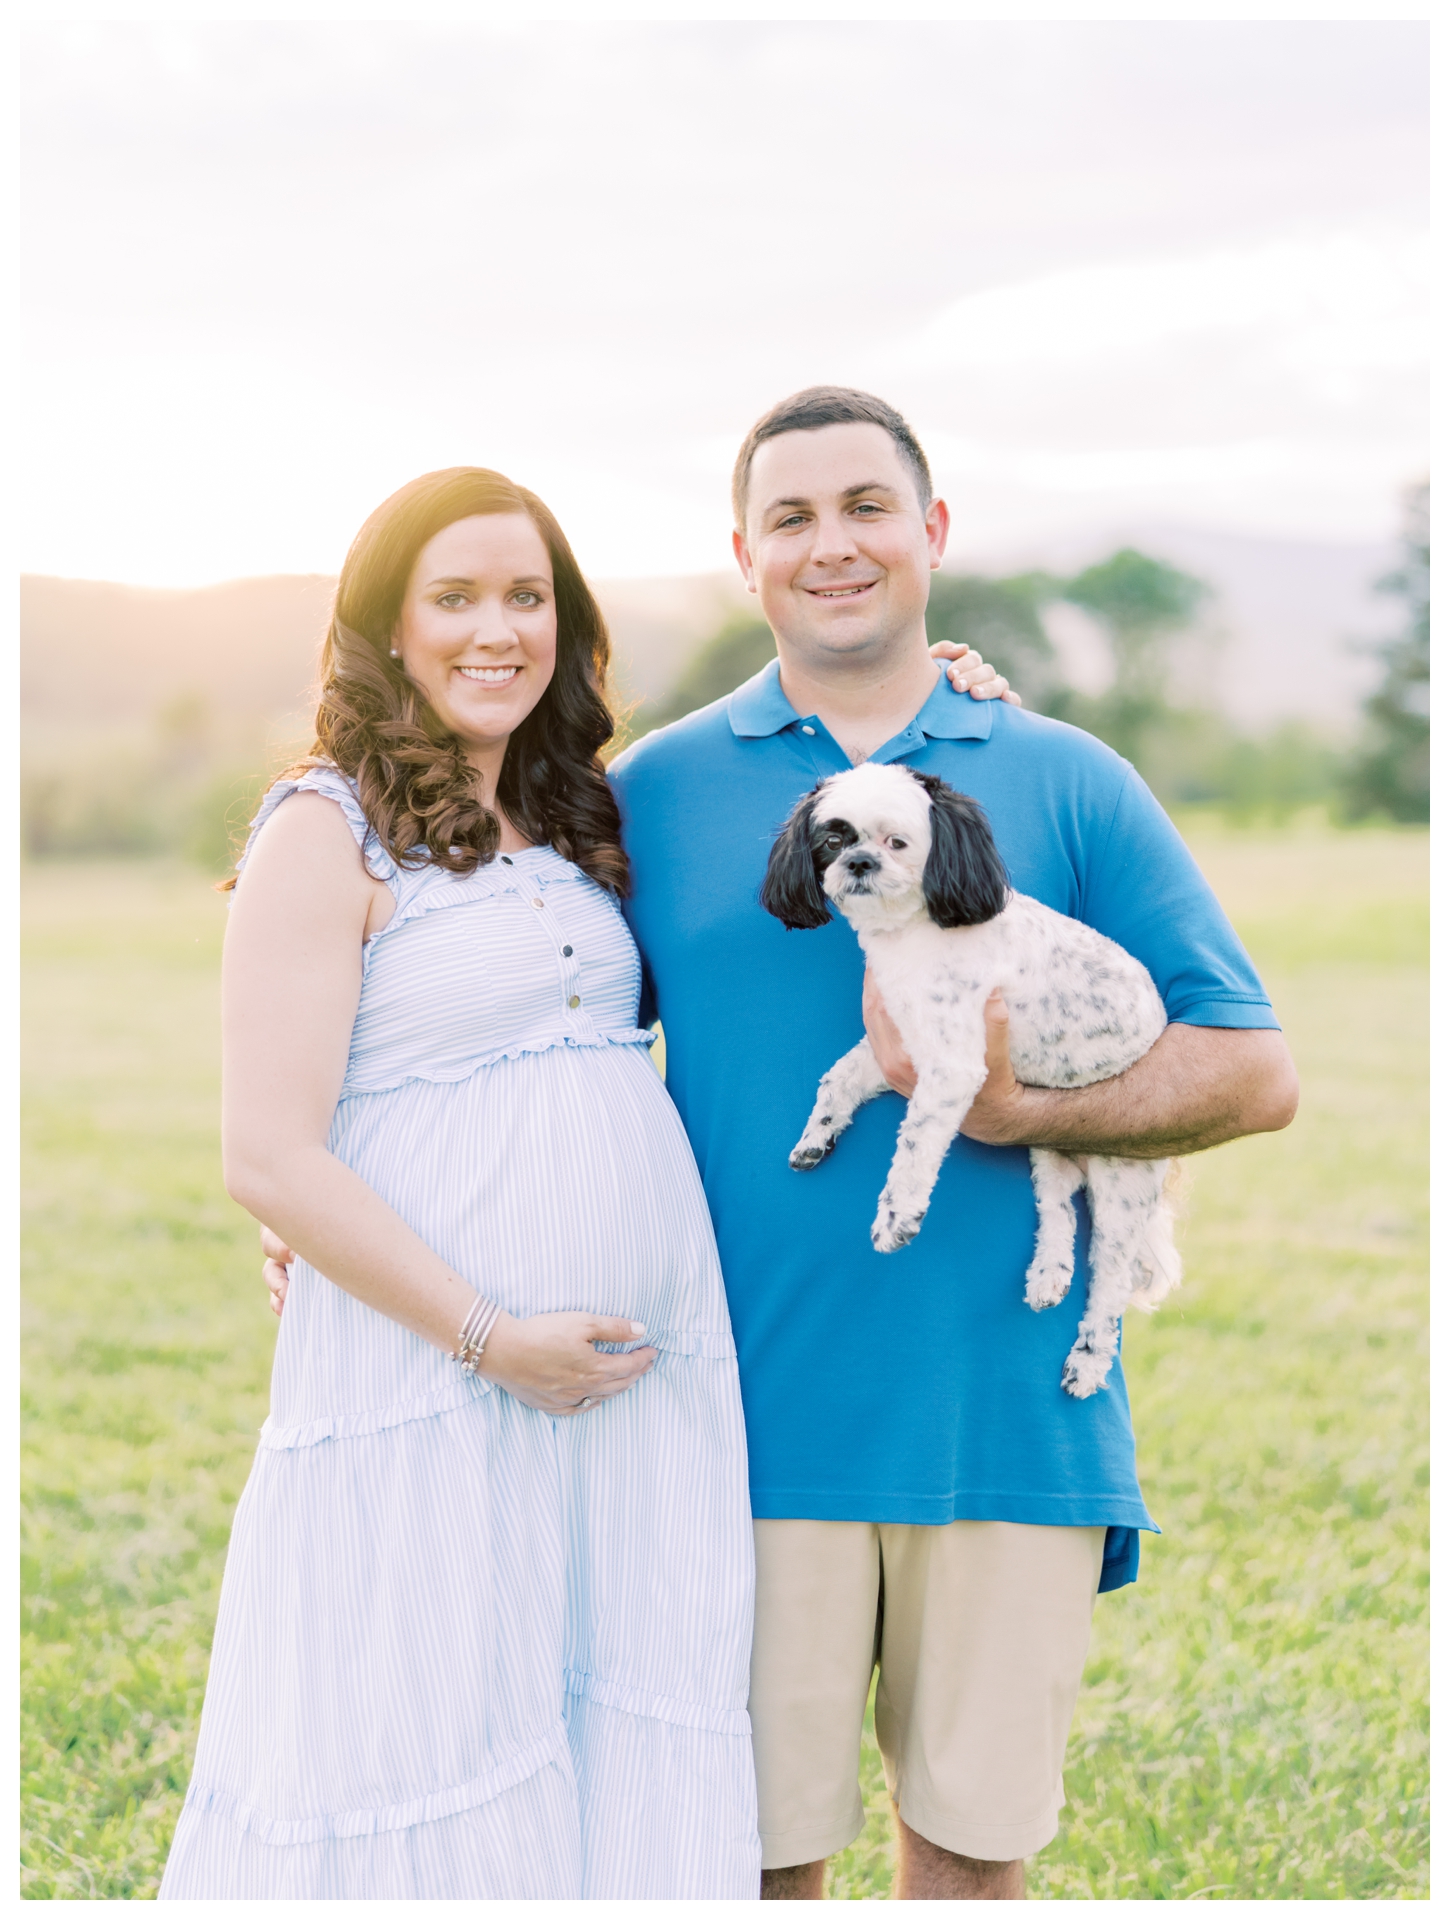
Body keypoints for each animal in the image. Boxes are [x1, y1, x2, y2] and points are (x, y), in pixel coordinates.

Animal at [760, 756, 1183, 1405]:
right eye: (832, 840)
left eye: (898, 842)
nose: (859, 862)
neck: (912, 934)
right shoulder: (897, 1040)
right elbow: (837, 1078)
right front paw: (817, 1136)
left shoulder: (951, 1067)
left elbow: (912, 1149)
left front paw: (897, 1217)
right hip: (1047, 1150)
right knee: (1058, 1213)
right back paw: (1047, 1275)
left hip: (1121, 1186)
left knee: (1108, 1283)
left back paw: (1086, 1362)